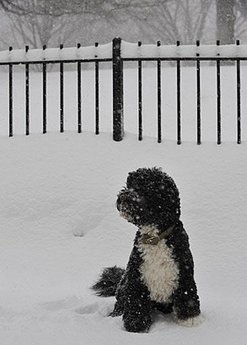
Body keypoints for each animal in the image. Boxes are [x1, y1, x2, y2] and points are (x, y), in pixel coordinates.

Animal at [92, 167, 201, 330]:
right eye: (129, 185)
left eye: (144, 188)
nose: (122, 197)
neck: (154, 239)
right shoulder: (136, 275)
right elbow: (136, 301)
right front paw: (135, 324)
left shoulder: (183, 271)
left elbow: (187, 293)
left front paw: (190, 319)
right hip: (123, 285)